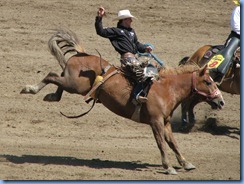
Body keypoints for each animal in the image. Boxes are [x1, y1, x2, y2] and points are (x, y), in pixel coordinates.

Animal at [21, 29, 225, 175]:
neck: (166, 89)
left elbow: (173, 142)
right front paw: (168, 167)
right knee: (51, 75)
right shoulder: (156, 122)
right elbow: (161, 143)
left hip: (75, 84)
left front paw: (185, 163)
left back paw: (51, 96)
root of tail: (81, 54)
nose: (221, 102)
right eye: (208, 82)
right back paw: (30, 89)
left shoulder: (165, 122)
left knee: (57, 78)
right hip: (74, 84)